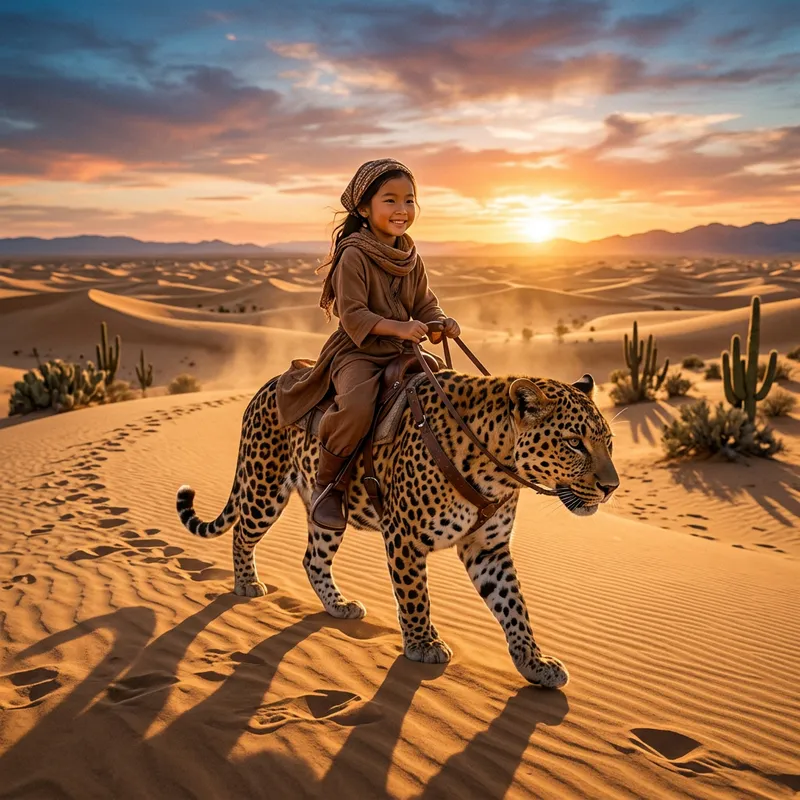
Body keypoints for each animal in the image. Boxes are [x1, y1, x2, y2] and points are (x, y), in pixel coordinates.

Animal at [175, 370, 619, 689]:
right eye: (574, 443)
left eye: (609, 442)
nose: (611, 487)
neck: (500, 469)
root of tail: (263, 388)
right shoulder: (405, 535)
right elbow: (415, 596)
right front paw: (424, 645)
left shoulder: (487, 548)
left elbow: (514, 606)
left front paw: (534, 662)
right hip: (264, 487)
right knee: (242, 533)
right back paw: (246, 584)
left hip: (327, 512)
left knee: (313, 558)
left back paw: (338, 606)